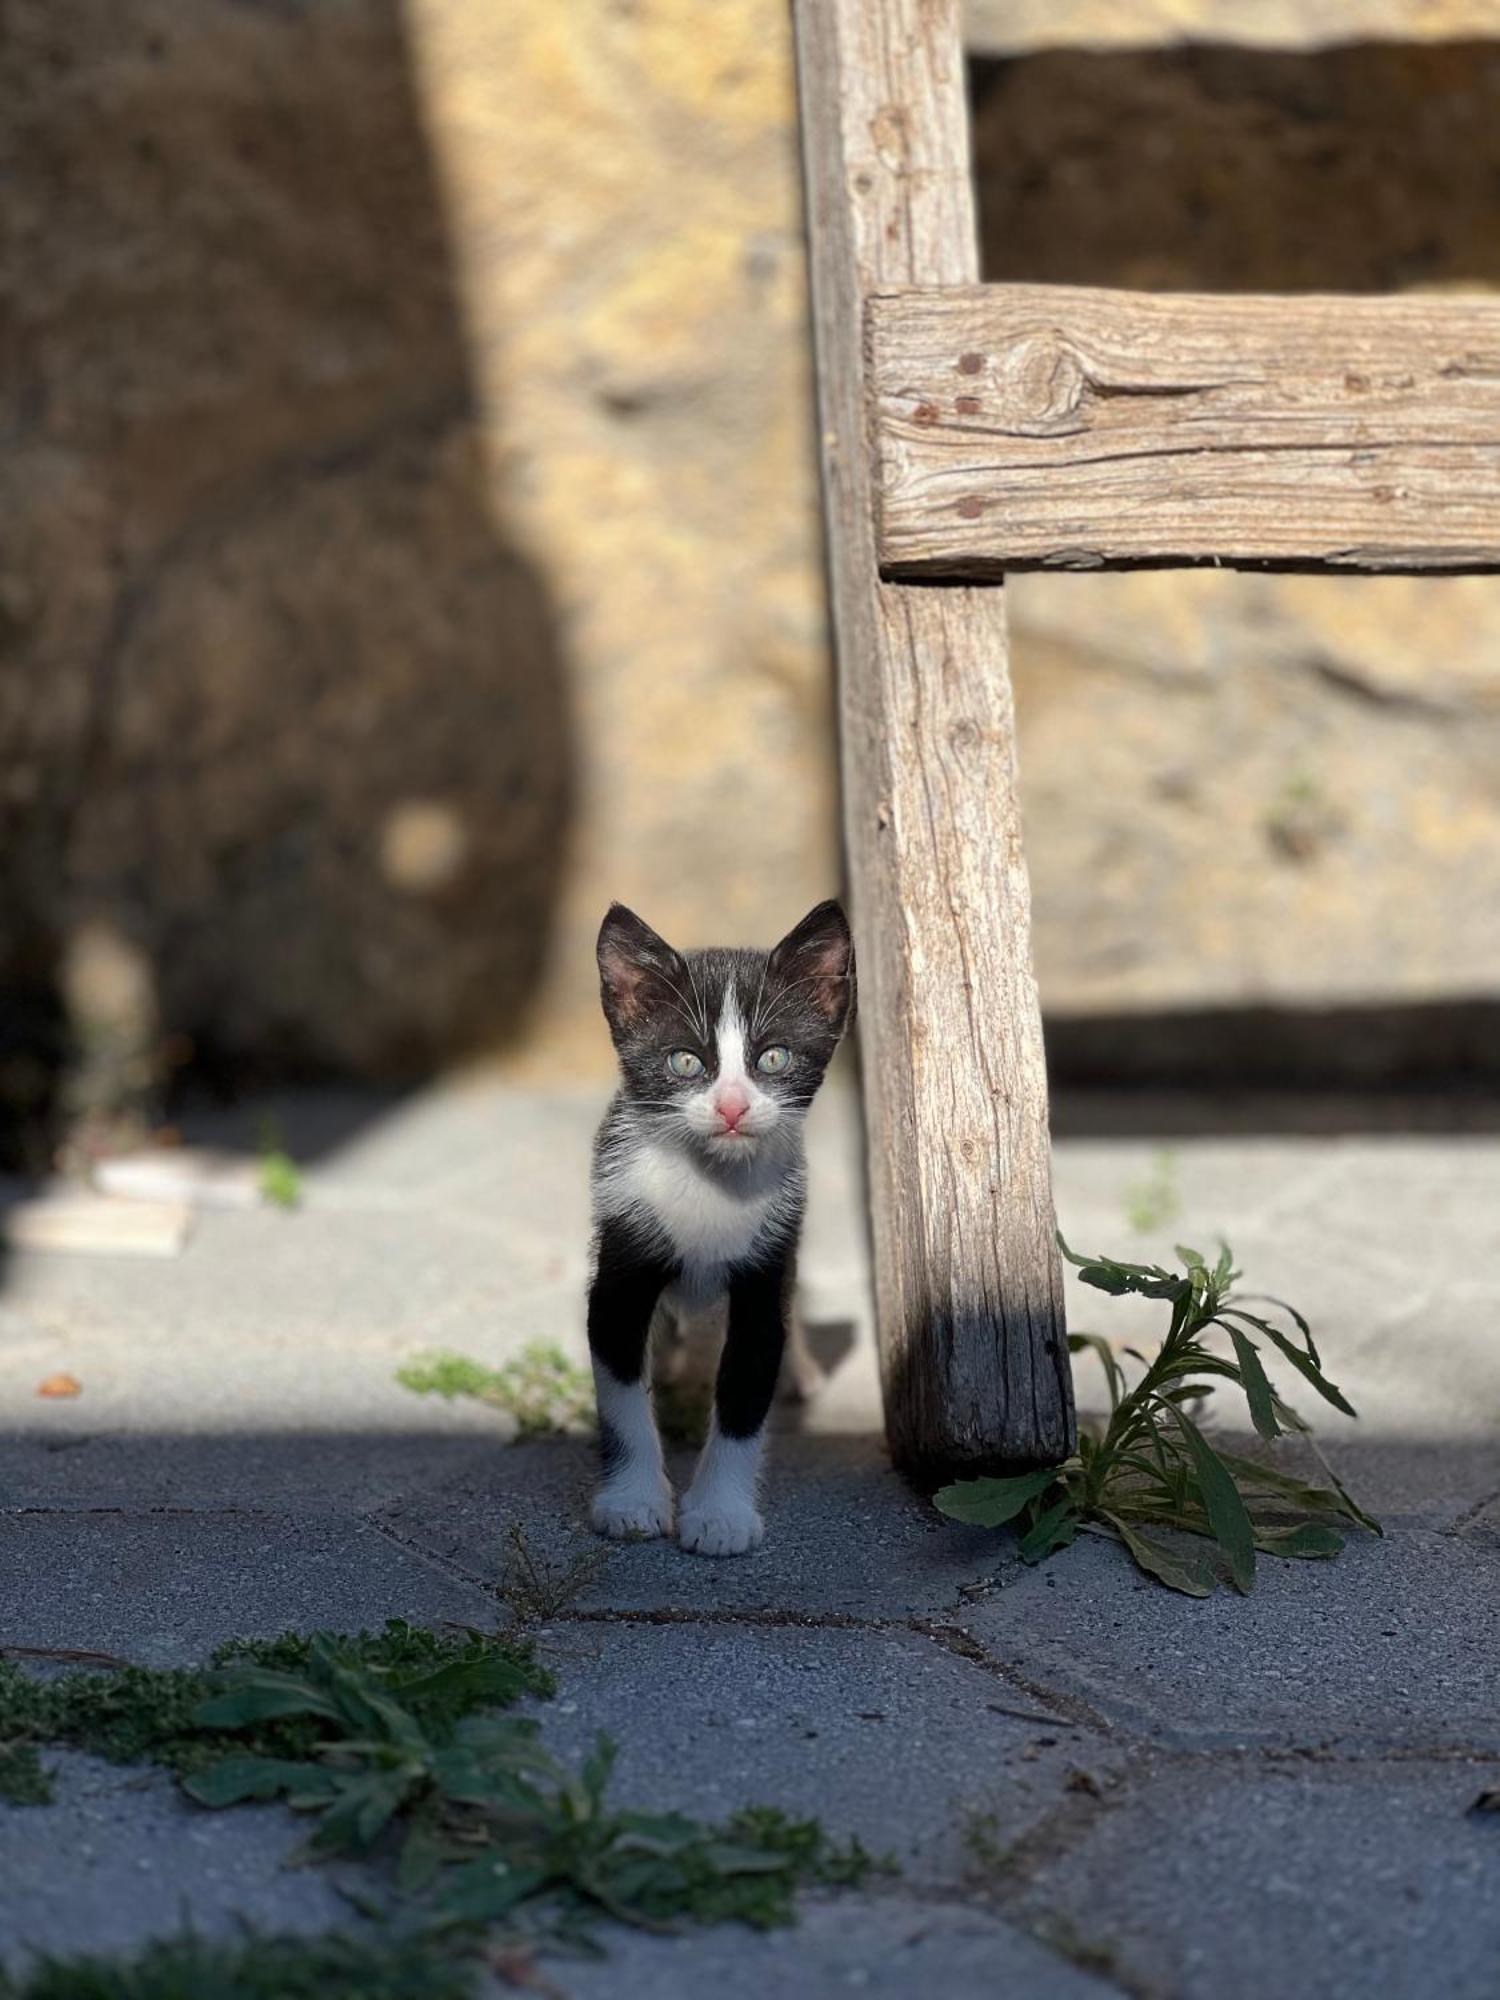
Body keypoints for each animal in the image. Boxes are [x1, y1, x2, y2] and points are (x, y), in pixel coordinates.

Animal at [592, 900, 856, 1552]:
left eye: (773, 1058)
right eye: (685, 1061)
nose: (732, 1106)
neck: (711, 1183)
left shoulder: (768, 1263)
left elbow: (746, 1386)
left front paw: (720, 1515)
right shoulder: (621, 1265)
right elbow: (622, 1394)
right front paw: (632, 1501)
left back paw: (801, 1370)